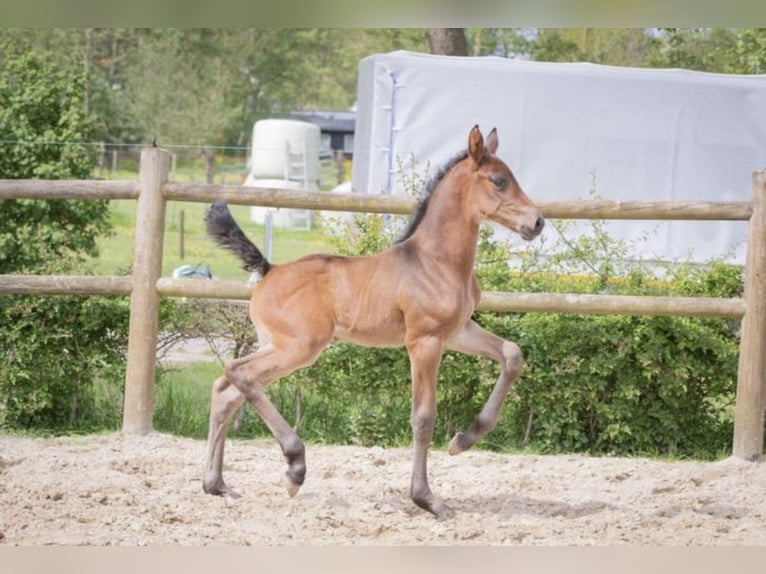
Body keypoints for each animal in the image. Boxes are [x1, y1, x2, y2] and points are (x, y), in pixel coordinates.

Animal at [201, 126, 544, 520]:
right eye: (499, 181)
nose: (537, 222)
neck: (435, 262)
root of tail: (269, 269)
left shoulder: (457, 332)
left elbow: (512, 354)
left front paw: (463, 439)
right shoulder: (424, 341)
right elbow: (423, 417)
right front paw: (427, 499)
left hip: (276, 344)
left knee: (227, 390)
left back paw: (217, 484)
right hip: (299, 347)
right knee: (239, 375)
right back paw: (294, 467)